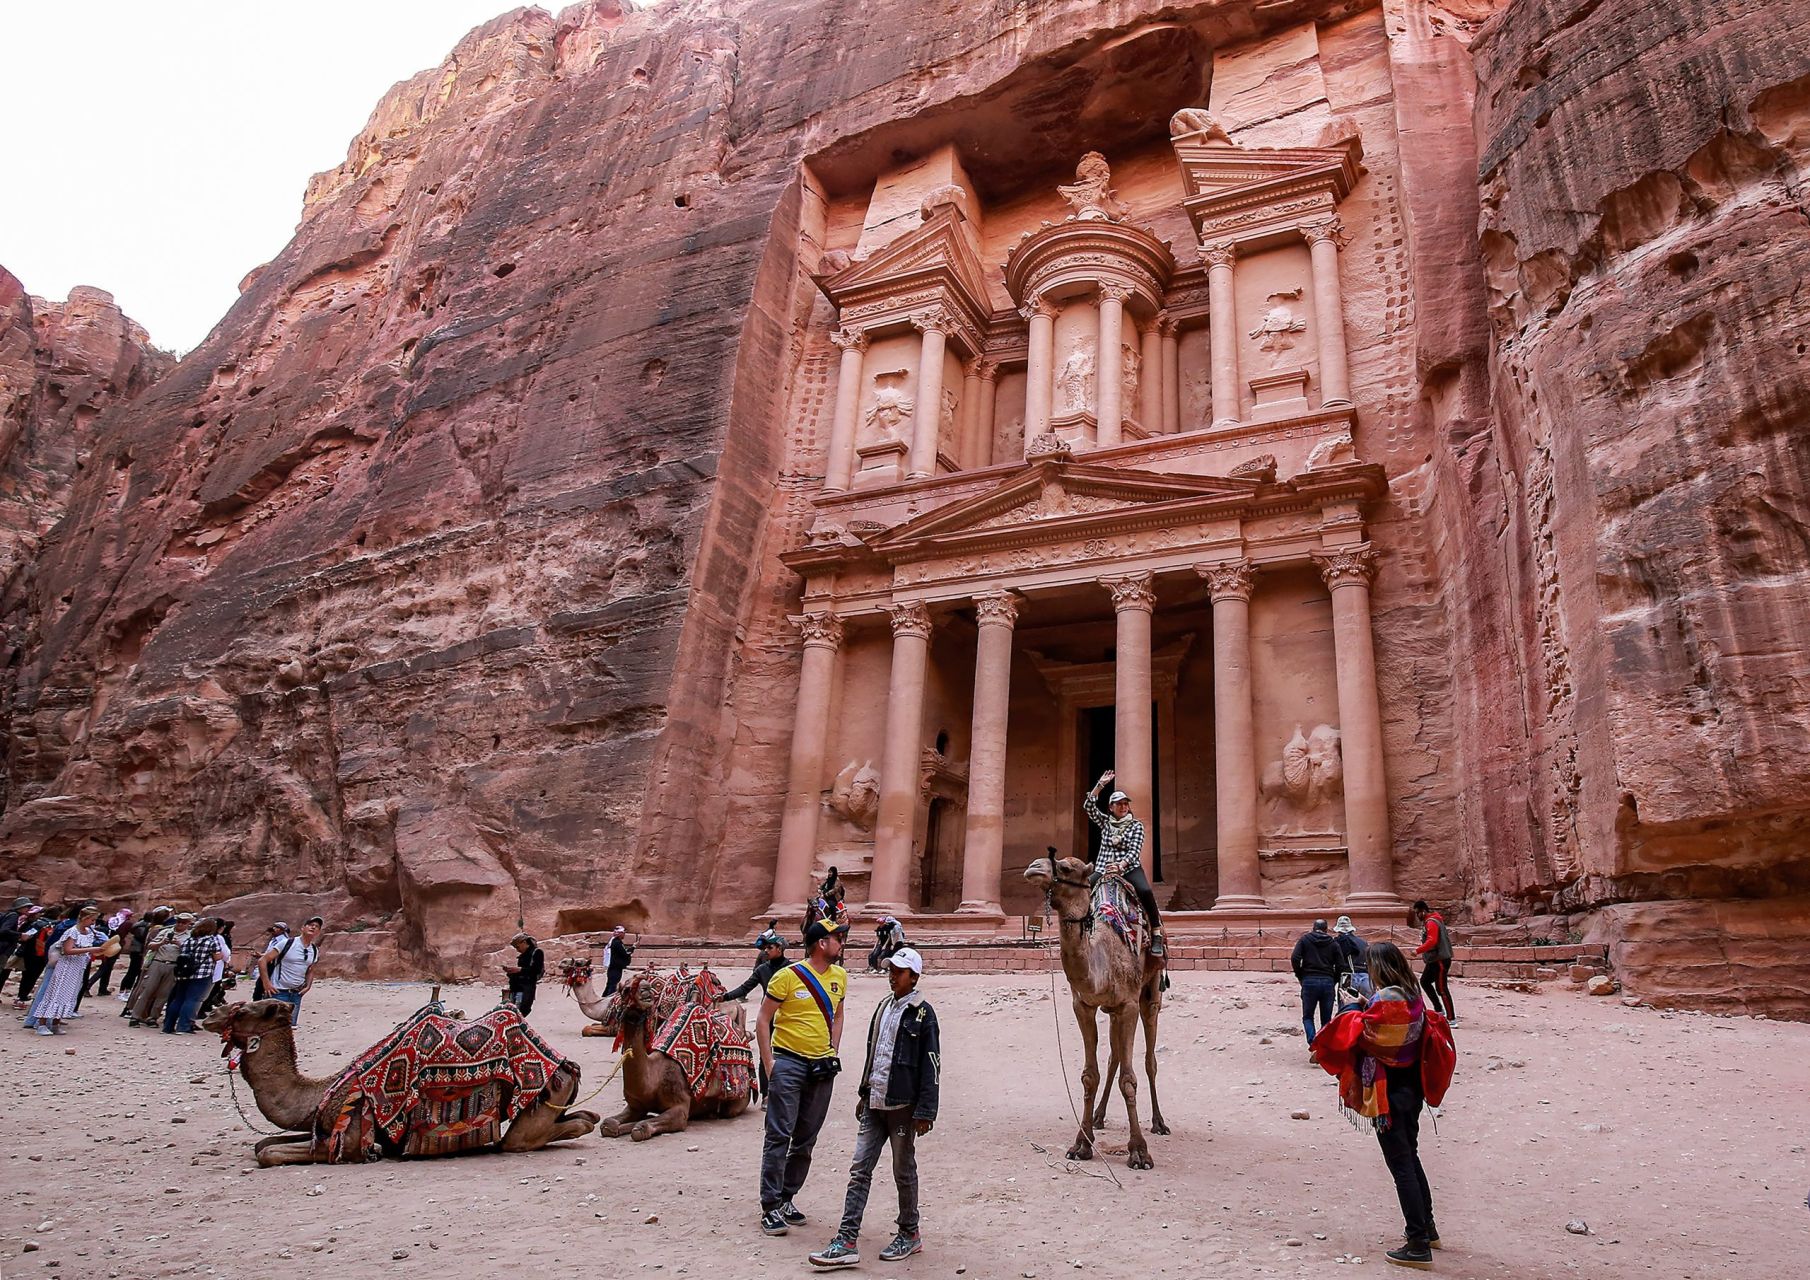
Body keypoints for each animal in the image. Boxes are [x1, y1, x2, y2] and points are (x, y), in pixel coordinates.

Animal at [202, 999, 600, 1173]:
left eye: (243, 1010)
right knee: (581, 1119)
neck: (319, 1094)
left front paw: (378, 1151)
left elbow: (269, 1153)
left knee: (521, 1140)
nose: (208, 1014)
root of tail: (565, 1064)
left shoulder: (349, 1138)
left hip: (538, 1103)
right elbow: (263, 1143)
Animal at [597, 970, 752, 1144]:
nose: (645, 989)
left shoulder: (680, 1108)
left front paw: (639, 1124)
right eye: (624, 989)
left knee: (729, 1110)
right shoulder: (635, 1106)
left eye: (646, 986)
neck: (654, 1076)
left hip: (739, 1098)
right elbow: (608, 1124)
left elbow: (641, 1128)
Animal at [1028, 850, 1165, 1173]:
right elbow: (1090, 1075)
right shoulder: (1084, 1005)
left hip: (1150, 993)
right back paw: (1100, 1116)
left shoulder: (1128, 1004)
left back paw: (1159, 1122)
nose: (1033, 868)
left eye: (1066, 867)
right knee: (1114, 1057)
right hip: (1113, 1010)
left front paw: (1139, 1152)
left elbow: (1130, 1079)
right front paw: (1081, 1143)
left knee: (1149, 1060)